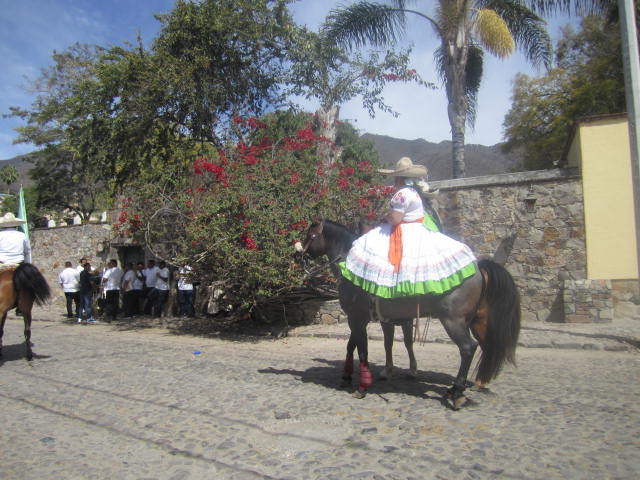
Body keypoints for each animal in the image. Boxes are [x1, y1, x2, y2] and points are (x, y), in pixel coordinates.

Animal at [298, 219, 520, 410]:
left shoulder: (357, 318)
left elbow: (362, 350)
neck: (351, 267)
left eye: (310, 233)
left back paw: (457, 392)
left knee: (468, 348)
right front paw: (346, 377)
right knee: (486, 346)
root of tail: (477, 266)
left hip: (453, 321)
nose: (298, 256)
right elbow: (352, 345)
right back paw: (473, 384)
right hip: (476, 322)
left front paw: (363, 387)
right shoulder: (359, 319)